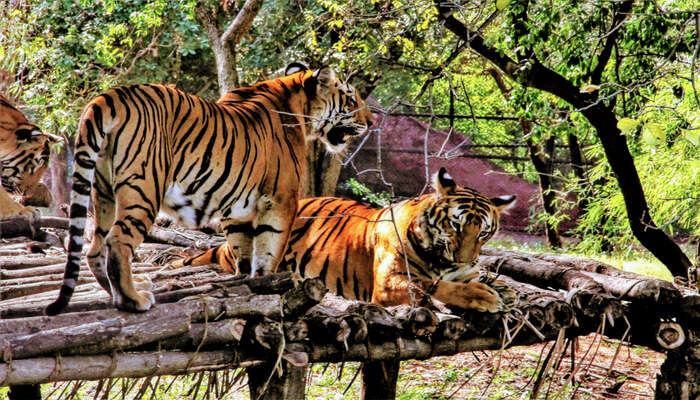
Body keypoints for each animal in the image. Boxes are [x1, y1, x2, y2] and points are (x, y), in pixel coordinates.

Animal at [175, 169, 516, 312]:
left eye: (483, 232)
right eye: (455, 225)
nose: (463, 258)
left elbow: (486, 280)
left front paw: (502, 290)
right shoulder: (387, 284)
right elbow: (429, 285)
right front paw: (483, 297)